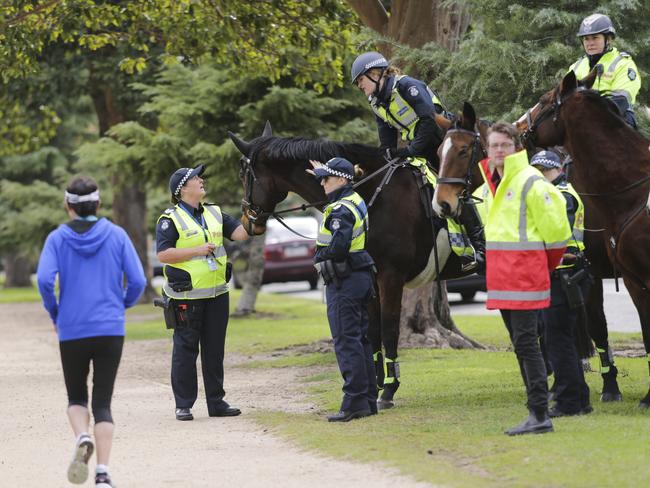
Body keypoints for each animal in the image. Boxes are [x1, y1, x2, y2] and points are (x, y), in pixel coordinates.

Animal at [228, 124, 476, 406]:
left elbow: (389, 329)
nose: (247, 221)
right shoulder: (371, 278)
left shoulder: (391, 278)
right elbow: (373, 330)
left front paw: (389, 389)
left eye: (243, 174)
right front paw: (376, 384)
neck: (374, 193)